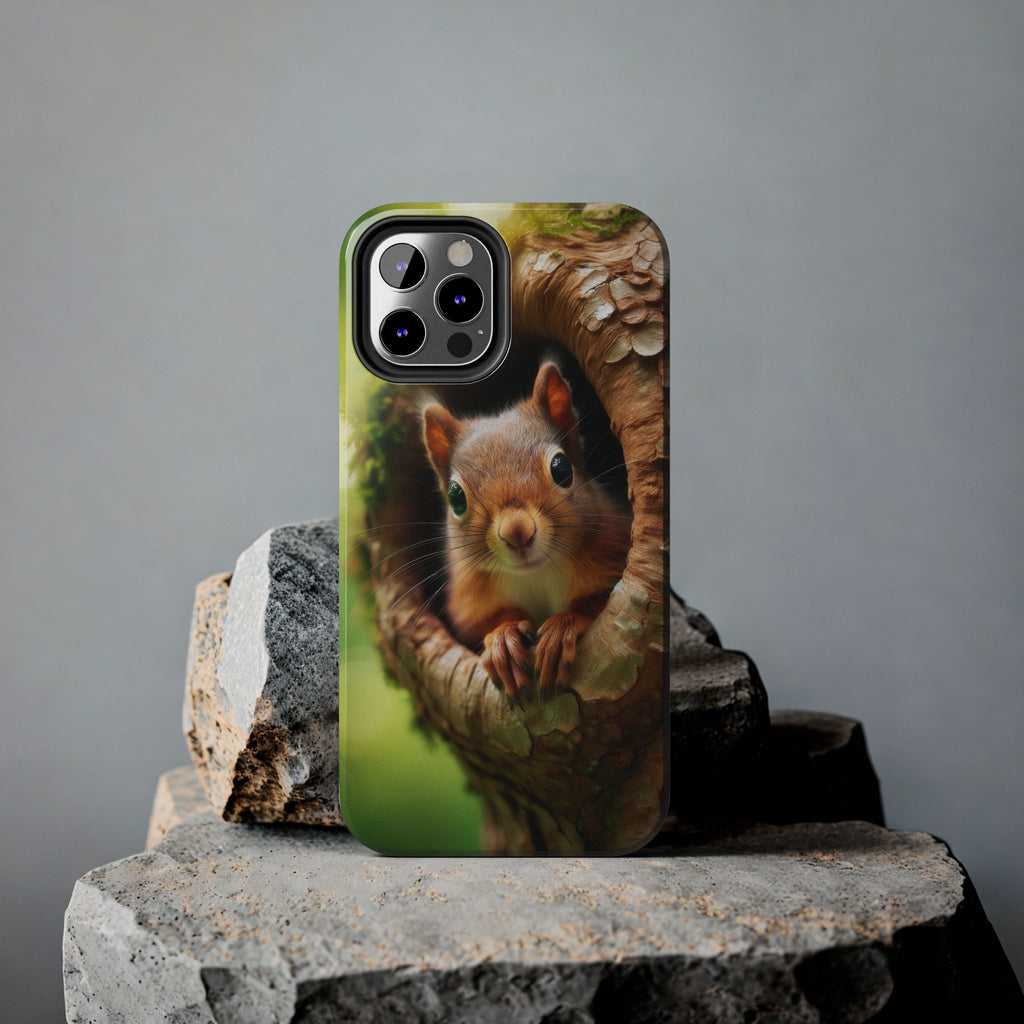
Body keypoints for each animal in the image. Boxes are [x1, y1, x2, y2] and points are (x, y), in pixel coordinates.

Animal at [422, 362, 631, 706]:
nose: (517, 532)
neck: (536, 574)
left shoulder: (612, 548)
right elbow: (481, 622)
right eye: (455, 497)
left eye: (561, 468)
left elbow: (597, 600)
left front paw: (562, 628)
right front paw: (503, 640)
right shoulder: (469, 597)